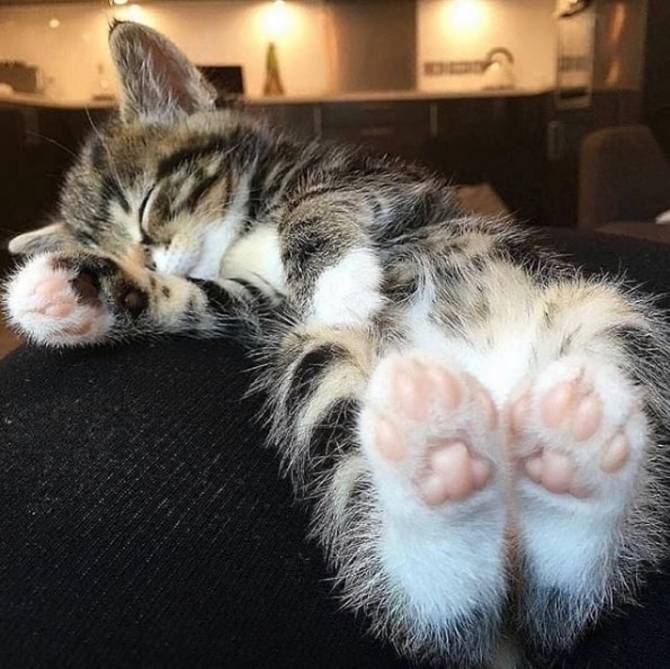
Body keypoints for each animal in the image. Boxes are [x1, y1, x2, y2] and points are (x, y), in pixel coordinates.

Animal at [3, 21, 670, 667]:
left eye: (148, 204)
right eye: (110, 248)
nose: (141, 257)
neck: (248, 220)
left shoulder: (388, 179)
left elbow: (317, 201)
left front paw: (340, 281)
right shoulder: (261, 306)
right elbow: (194, 298)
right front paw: (73, 294)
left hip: (610, 313)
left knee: (564, 599)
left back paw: (570, 444)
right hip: (315, 363)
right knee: (456, 607)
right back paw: (450, 449)